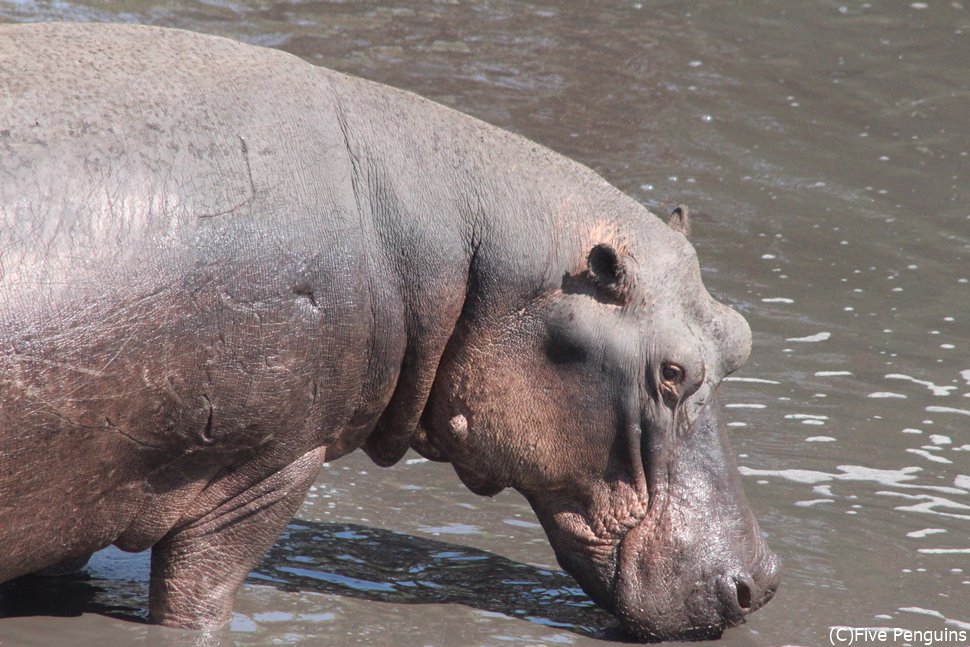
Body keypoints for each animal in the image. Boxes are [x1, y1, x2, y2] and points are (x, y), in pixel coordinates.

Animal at [0, 22, 776, 640]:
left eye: (740, 335)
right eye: (672, 372)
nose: (763, 582)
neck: (447, 248)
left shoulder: (79, 492)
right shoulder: (265, 469)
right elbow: (198, 599)